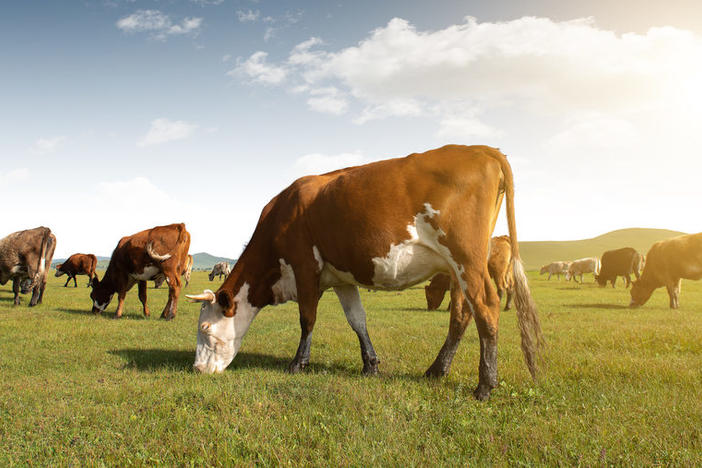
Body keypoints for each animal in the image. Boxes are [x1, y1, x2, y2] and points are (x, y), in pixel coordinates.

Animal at [187, 144, 544, 400]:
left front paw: (298, 363)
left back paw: (485, 385)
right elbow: (357, 319)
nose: (197, 369)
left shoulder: (305, 268)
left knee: (487, 308)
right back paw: (437, 369)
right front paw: (370, 364)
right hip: (458, 269)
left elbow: (307, 319)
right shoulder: (341, 278)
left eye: (204, 328)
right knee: (460, 314)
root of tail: (483, 149)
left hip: (467, 259)